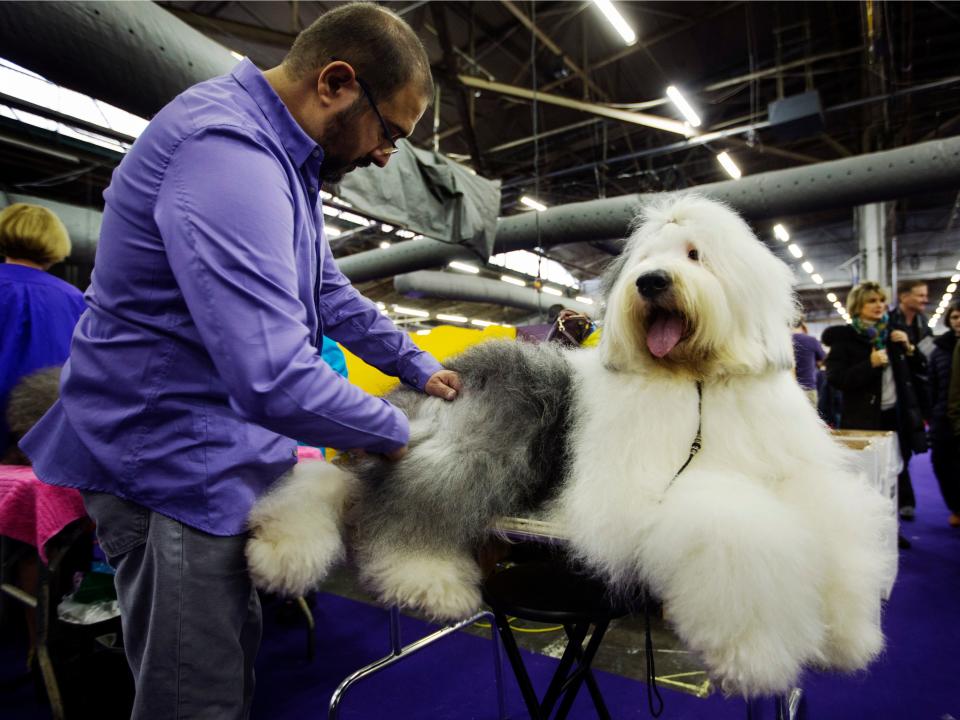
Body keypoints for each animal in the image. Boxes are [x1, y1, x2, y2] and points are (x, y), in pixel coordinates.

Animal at [246, 194, 892, 696]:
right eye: (644, 260)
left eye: (693, 255)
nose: (651, 283)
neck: (696, 383)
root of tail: (439, 378)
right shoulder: (649, 494)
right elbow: (738, 531)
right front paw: (755, 654)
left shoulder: (795, 473)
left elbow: (835, 523)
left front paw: (850, 636)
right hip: (483, 449)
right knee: (411, 512)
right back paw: (428, 582)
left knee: (338, 485)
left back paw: (282, 548)